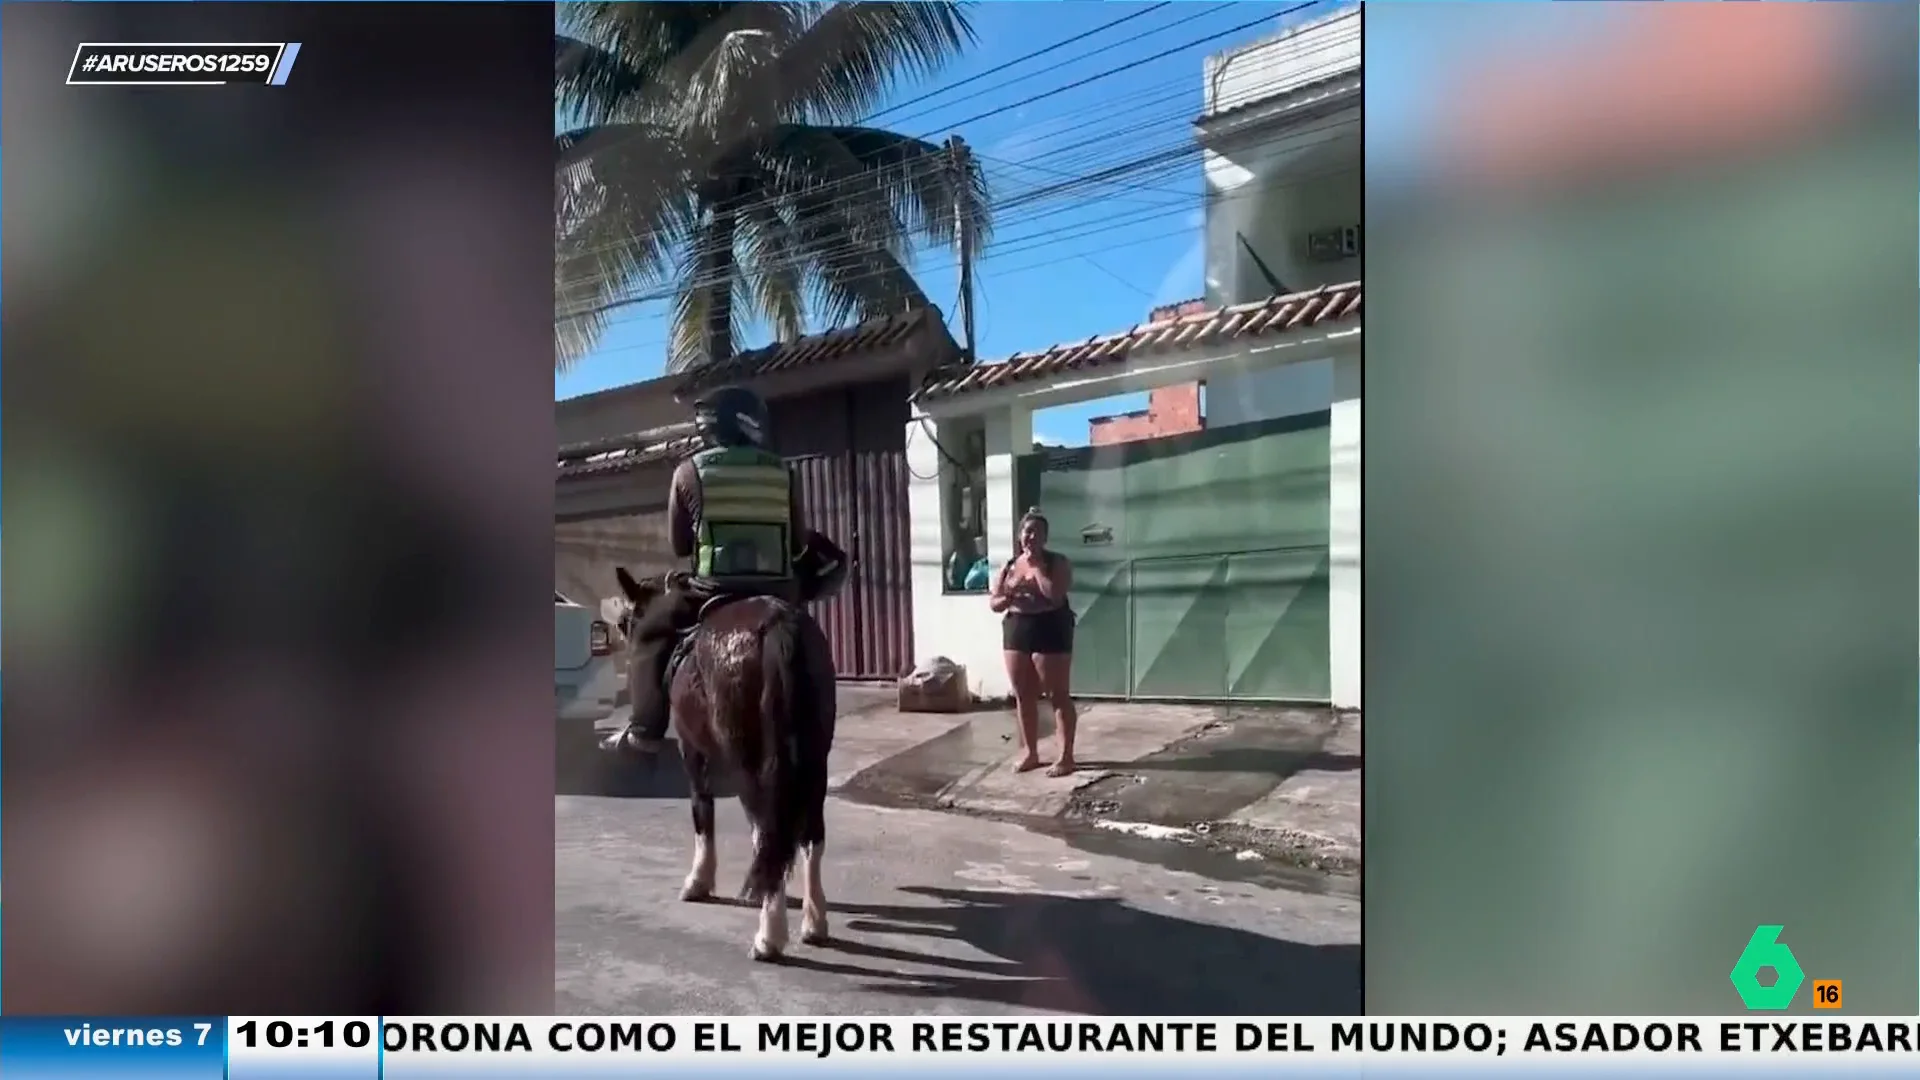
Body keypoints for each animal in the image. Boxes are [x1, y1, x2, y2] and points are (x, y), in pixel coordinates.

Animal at [606, 564, 833, 957]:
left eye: (625, 623)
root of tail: (780, 628)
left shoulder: (693, 752)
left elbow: (703, 812)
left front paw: (698, 881)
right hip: (814, 762)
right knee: (808, 836)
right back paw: (813, 923)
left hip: (752, 764)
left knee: (771, 827)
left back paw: (769, 937)